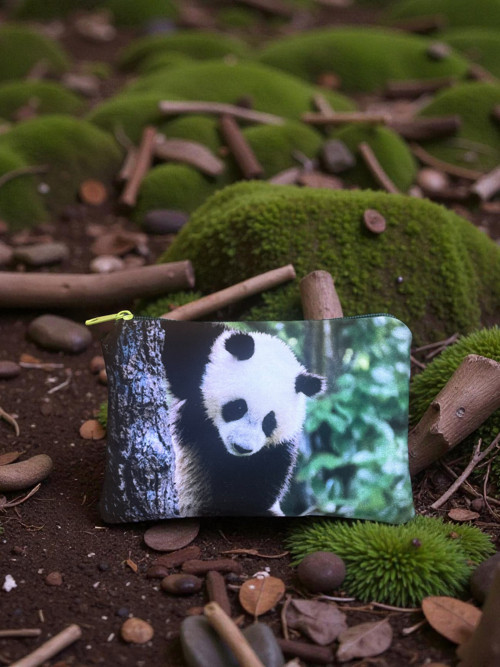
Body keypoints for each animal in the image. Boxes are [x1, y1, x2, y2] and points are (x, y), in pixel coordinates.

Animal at [162, 322, 325, 517]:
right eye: (239, 407)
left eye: (269, 422)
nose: (242, 447)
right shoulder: (201, 361)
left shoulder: (275, 451)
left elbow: (249, 494)